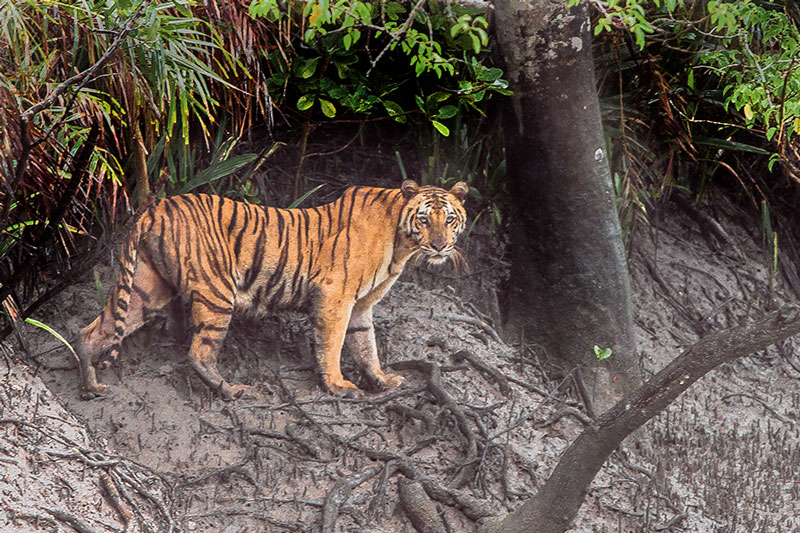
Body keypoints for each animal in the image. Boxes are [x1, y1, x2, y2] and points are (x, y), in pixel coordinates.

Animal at [76, 181, 468, 396]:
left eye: (450, 219)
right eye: (424, 219)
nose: (439, 246)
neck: (402, 244)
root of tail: (156, 207)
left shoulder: (361, 306)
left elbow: (365, 345)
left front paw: (382, 380)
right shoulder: (335, 296)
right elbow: (333, 344)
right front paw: (338, 385)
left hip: (147, 288)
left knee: (93, 330)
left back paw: (90, 385)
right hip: (217, 292)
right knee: (199, 352)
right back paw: (230, 390)